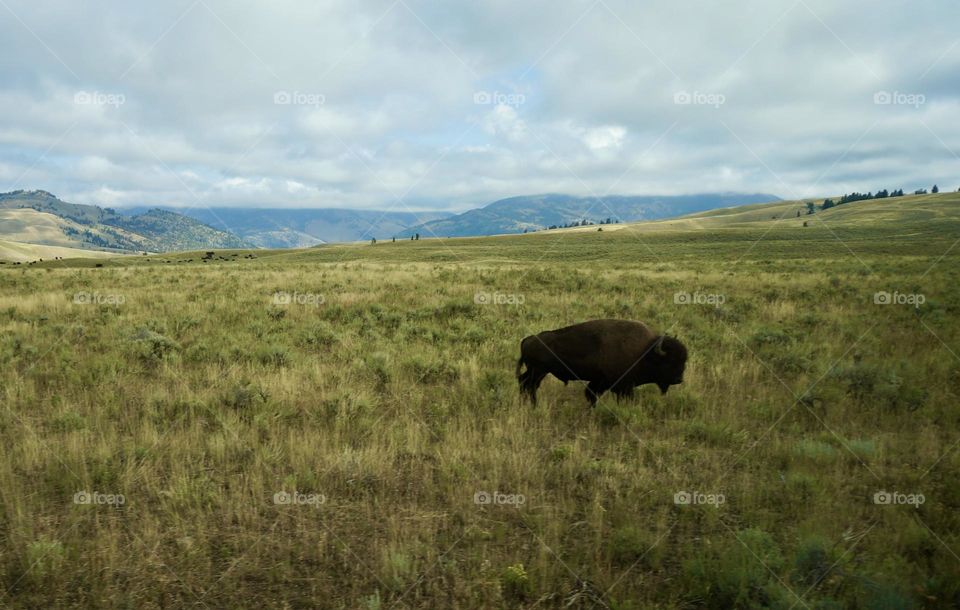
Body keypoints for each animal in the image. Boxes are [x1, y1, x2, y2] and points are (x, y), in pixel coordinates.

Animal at [512, 318, 688, 404]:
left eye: (683, 360)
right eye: (669, 361)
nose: (678, 379)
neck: (645, 351)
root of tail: (528, 339)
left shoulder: (600, 382)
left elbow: (591, 395)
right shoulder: (622, 386)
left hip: (536, 371)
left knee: (524, 383)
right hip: (539, 371)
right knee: (529, 385)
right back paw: (533, 405)